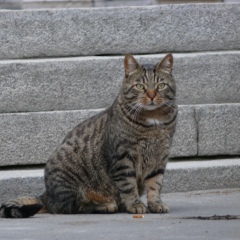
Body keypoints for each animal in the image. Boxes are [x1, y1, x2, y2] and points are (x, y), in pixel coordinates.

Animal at [0, 53, 178, 218]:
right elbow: (128, 185)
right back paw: (105, 205)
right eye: (140, 86)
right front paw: (135, 204)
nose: (152, 95)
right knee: (69, 207)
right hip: (68, 177)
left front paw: (156, 204)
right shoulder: (122, 156)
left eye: (161, 85)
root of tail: (47, 195)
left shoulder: (160, 157)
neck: (154, 120)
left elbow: (155, 184)